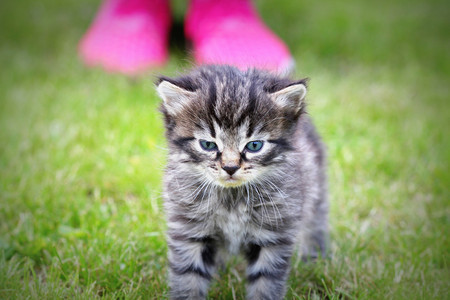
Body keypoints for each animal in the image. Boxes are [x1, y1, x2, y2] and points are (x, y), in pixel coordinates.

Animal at [157, 65, 326, 300]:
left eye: (254, 145)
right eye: (208, 145)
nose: (230, 167)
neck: (232, 199)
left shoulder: (273, 235)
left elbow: (265, 283)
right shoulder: (189, 231)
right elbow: (188, 278)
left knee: (315, 221)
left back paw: (314, 259)